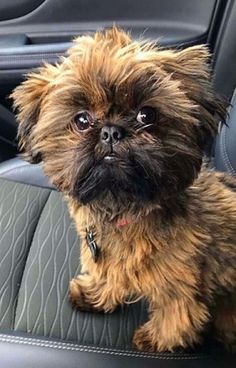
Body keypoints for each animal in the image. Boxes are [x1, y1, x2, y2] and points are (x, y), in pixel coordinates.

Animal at [11, 27, 236, 352]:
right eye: (82, 120)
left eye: (146, 115)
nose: (111, 131)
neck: (123, 207)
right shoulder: (112, 259)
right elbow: (111, 276)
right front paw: (96, 293)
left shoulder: (180, 282)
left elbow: (176, 315)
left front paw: (155, 339)